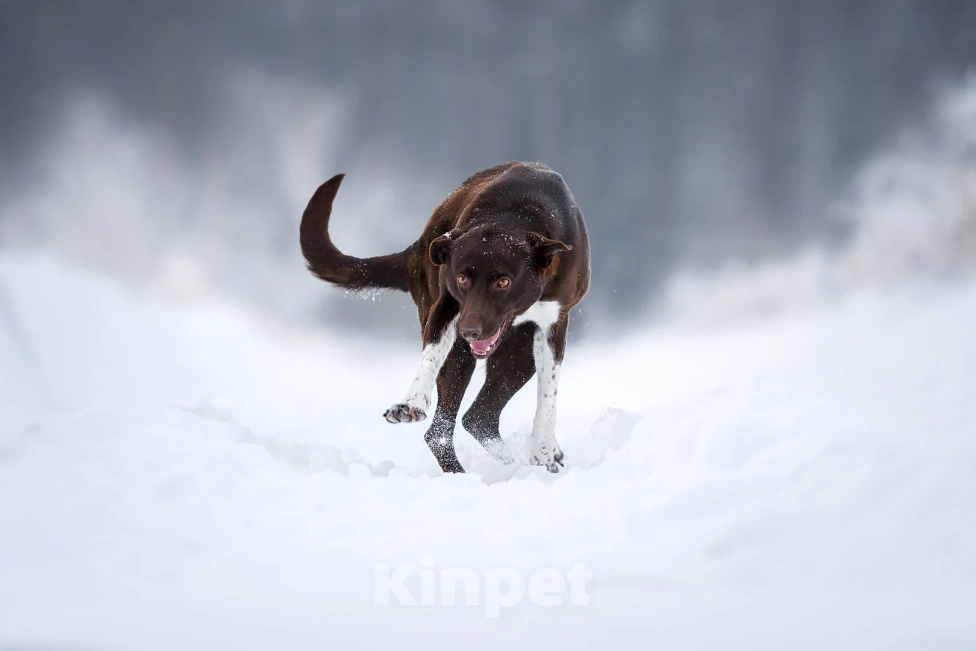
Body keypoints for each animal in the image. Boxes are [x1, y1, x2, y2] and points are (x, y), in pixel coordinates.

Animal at [300, 160, 588, 472]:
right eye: (462, 278)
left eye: (503, 281)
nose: (469, 330)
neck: (518, 214)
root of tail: (418, 247)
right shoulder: (447, 306)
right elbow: (430, 355)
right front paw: (411, 403)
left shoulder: (555, 324)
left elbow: (548, 396)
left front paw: (544, 451)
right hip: (463, 353)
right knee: (443, 430)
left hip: (518, 355)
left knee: (479, 416)